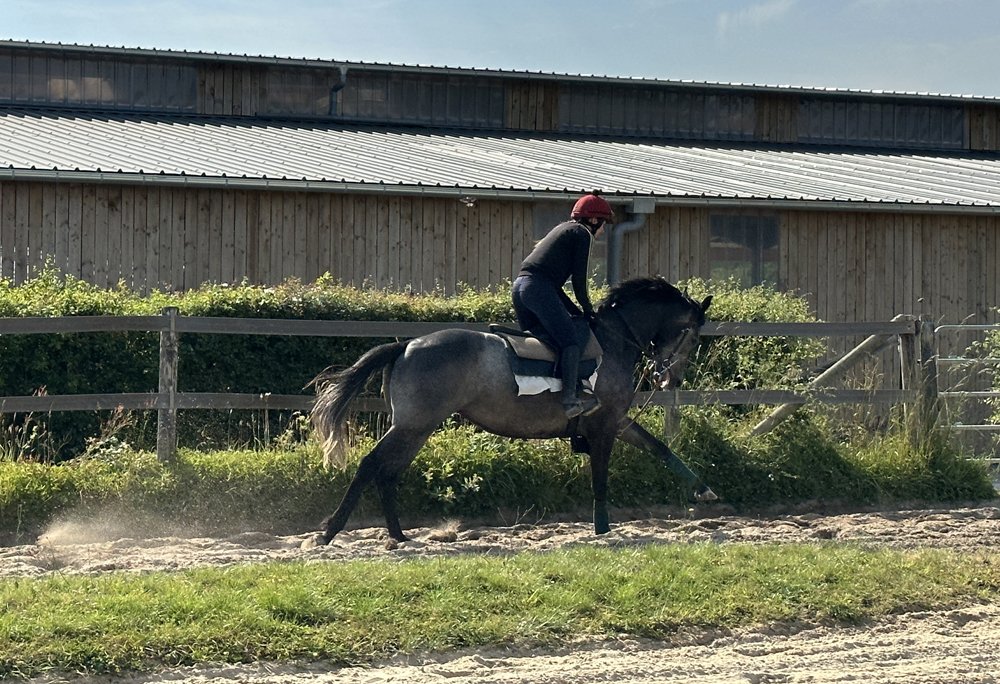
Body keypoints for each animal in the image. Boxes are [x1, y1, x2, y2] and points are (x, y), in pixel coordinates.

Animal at [310, 276, 715, 544]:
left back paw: (399, 535)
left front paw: (704, 491)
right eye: (694, 336)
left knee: (388, 474)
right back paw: (330, 532)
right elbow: (600, 476)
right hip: (413, 426)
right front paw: (602, 528)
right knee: (371, 466)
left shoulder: (616, 420)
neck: (614, 340)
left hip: (416, 428)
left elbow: (660, 448)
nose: (671, 379)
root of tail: (407, 345)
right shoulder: (603, 425)